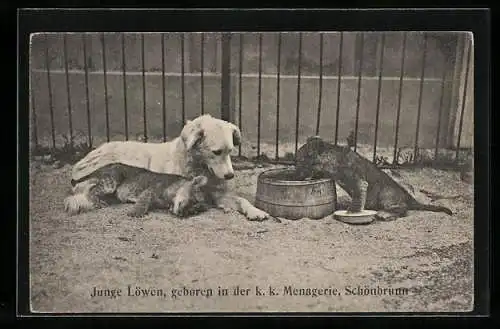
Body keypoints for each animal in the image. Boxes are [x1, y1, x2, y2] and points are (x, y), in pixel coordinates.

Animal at [64, 162, 209, 218]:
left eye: (194, 211)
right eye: (194, 200)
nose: (184, 213)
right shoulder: (151, 189)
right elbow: (143, 201)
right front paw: (135, 212)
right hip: (110, 182)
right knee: (92, 189)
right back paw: (98, 202)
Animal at [292, 136, 454, 220]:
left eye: (300, 160)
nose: (295, 174)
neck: (332, 159)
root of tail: (409, 197)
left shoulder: (359, 182)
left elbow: (357, 198)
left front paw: (353, 212)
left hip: (386, 194)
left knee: (403, 208)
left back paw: (385, 214)